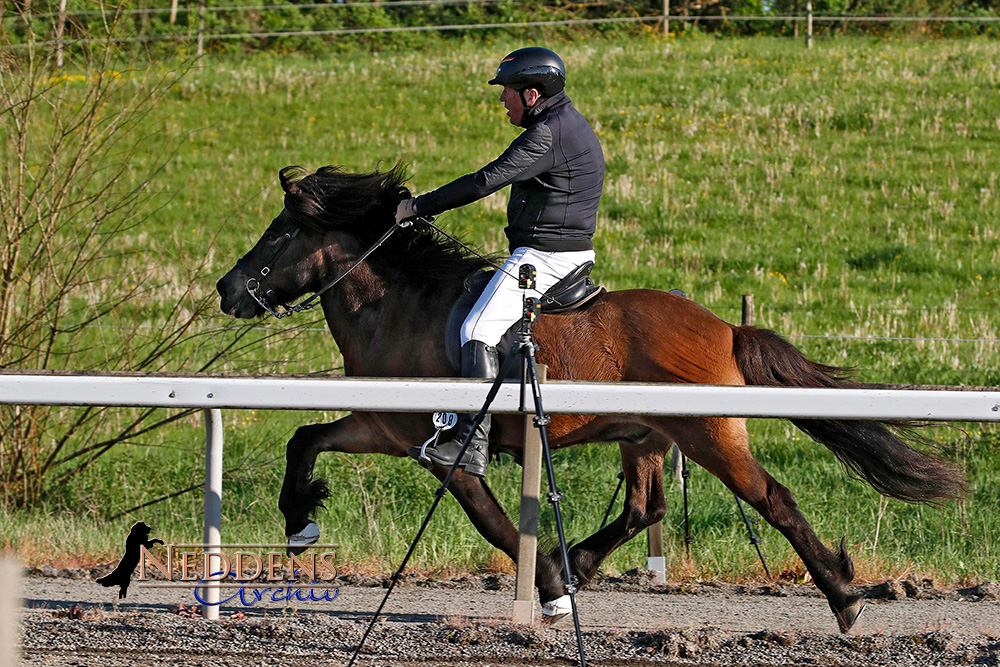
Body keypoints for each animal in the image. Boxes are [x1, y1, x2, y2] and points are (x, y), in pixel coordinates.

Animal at [217, 164, 960, 636]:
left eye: (281, 232)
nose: (227, 289)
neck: (401, 305)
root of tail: (725, 326)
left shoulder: (442, 449)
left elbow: (492, 522)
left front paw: (546, 584)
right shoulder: (382, 424)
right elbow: (306, 438)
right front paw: (299, 517)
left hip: (710, 435)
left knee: (771, 499)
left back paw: (842, 596)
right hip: (646, 438)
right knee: (643, 508)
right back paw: (582, 564)